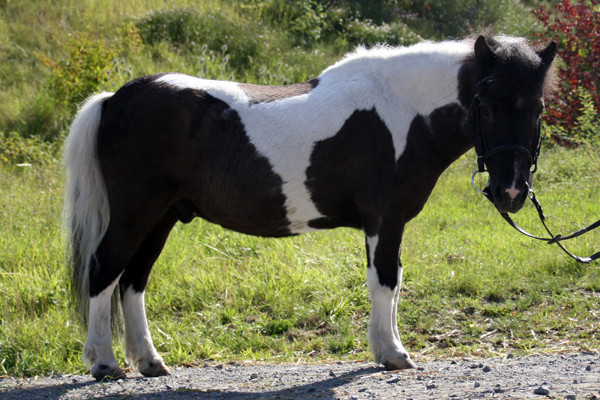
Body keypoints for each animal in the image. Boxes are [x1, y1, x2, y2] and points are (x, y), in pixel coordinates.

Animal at [63, 33, 556, 378]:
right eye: (486, 107)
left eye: (537, 108)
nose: (511, 193)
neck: (402, 111)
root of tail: (113, 99)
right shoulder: (385, 219)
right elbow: (385, 282)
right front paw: (392, 353)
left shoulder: (388, 223)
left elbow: (393, 283)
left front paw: (388, 348)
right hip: (135, 215)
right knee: (105, 272)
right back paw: (104, 363)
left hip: (161, 218)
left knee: (133, 282)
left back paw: (149, 362)